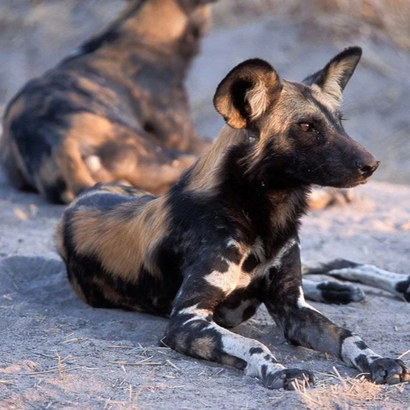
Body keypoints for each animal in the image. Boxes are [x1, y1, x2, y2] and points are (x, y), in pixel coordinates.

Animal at [57, 46, 410, 390]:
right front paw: (281, 371)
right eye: (306, 127)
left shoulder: (292, 307)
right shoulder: (186, 320)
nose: (372, 164)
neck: (264, 216)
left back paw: (375, 286)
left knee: (337, 262)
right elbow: (255, 345)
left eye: (339, 122)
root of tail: (88, 191)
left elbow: (349, 336)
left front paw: (379, 360)